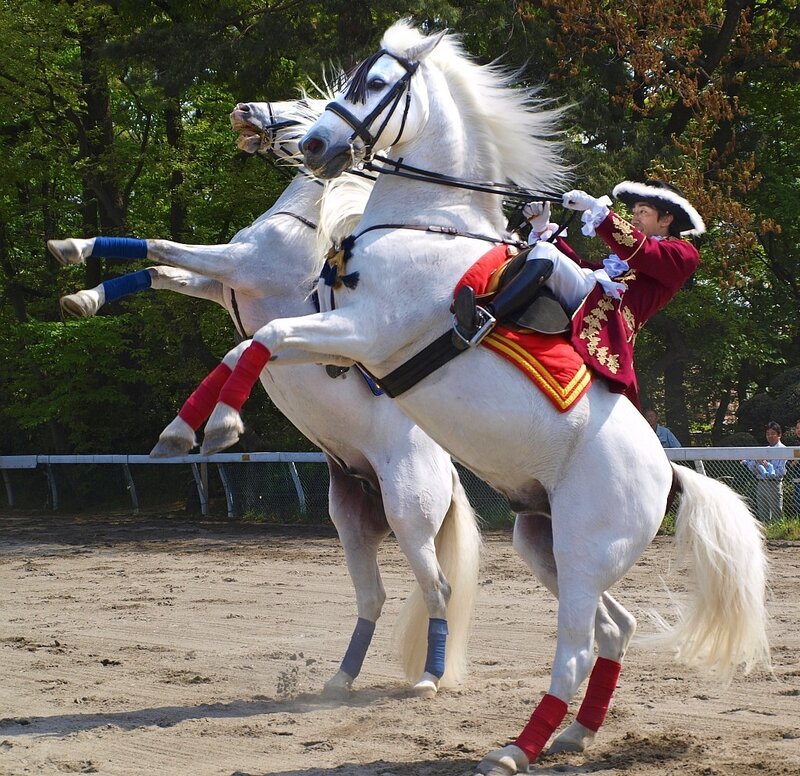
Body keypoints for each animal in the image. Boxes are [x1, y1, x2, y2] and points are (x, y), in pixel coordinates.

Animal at [47, 97, 482, 700]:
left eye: (304, 104)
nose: (243, 110)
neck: (303, 227)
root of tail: (449, 472)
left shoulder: (238, 268)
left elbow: (164, 251)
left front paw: (217, 426)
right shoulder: (222, 284)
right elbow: (157, 269)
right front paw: (82, 294)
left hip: (409, 515)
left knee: (437, 588)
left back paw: (427, 680)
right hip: (351, 521)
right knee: (372, 596)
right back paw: (339, 679)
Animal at [191, 22, 771, 774]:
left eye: (373, 85)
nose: (318, 146)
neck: (427, 227)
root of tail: (669, 473)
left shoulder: (362, 332)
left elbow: (261, 339)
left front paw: (218, 424)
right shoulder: (338, 340)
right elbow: (248, 347)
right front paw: (192, 426)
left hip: (584, 551)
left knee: (574, 649)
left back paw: (517, 747)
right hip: (544, 544)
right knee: (615, 629)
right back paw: (576, 734)